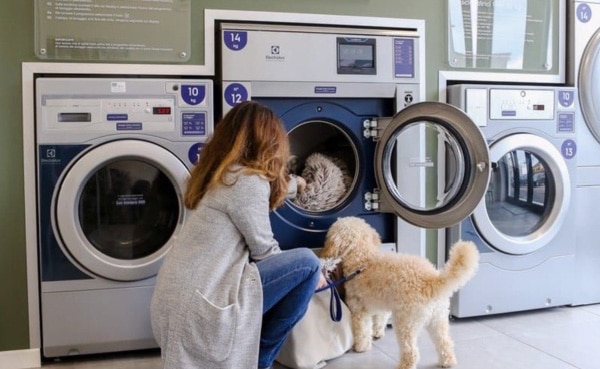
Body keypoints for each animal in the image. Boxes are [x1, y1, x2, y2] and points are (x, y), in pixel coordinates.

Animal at [322, 216, 480, 368]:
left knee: (411, 351)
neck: (362, 259)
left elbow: (362, 330)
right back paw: (447, 362)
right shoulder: (381, 305)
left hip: (406, 322)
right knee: (445, 343)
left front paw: (361, 347)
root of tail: (432, 280)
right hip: (438, 319)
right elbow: (380, 319)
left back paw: (405, 365)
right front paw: (378, 333)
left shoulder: (359, 309)